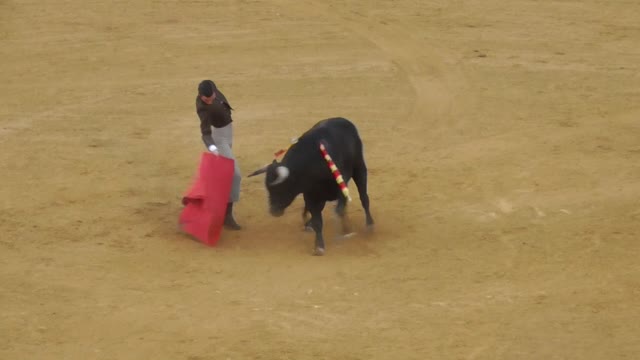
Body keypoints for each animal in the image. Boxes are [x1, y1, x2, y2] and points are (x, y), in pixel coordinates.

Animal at [246, 116, 376, 255]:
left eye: (281, 189)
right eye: (268, 189)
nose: (273, 211)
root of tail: (343, 120)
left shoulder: (340, 185)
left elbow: (339, 209)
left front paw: (345, 228)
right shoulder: (311, 195)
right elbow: (318, 220)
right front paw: (319, 246)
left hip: (359, 168)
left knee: (364, 198)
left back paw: (369, 224)